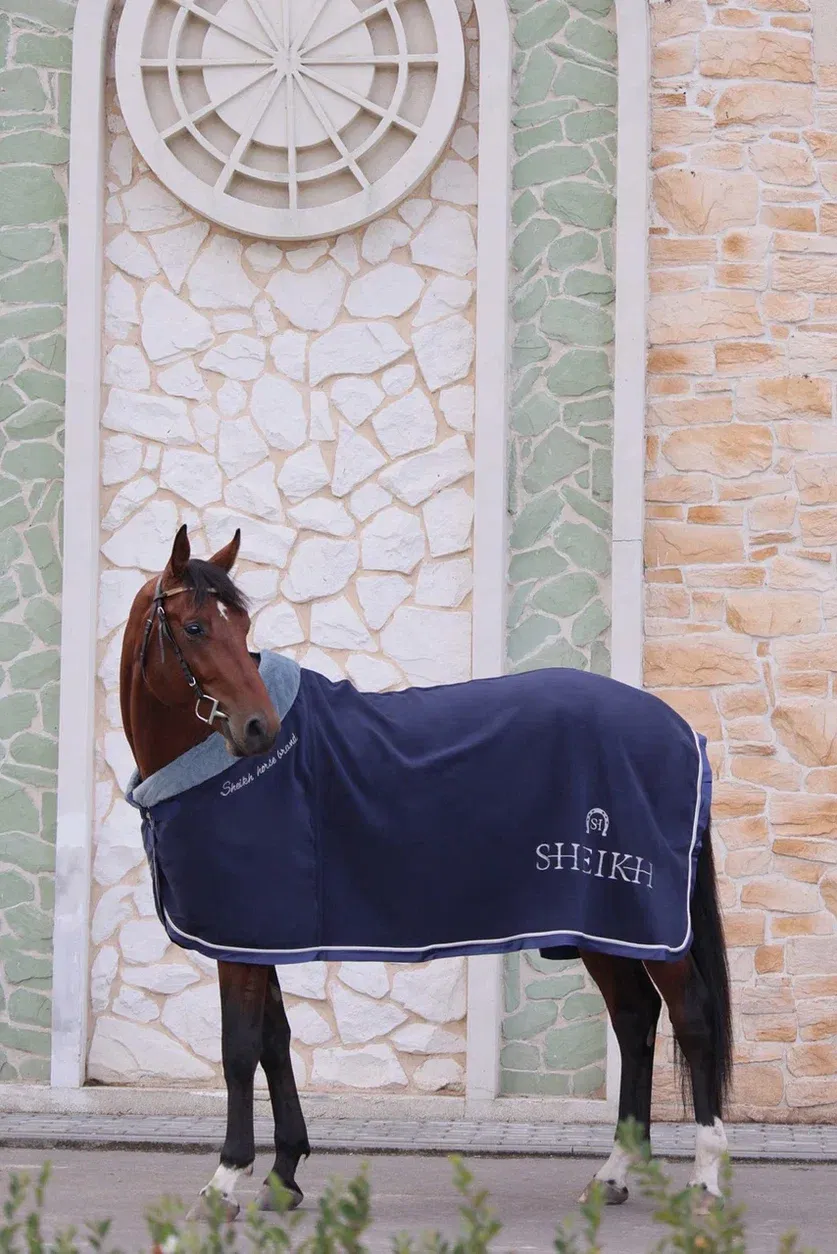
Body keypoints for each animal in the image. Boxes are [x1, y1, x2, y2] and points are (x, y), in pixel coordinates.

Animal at [118, 524, 732, 1221]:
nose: (258, 729)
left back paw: (705, 1181)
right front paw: (284, 1173)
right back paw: (613, 1173)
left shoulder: (242, 937)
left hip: (645, 921)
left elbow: (240, 1048)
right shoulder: (257, 937)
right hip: (601, 924)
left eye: (240, 623)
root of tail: (680, 732)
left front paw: (226, 1180)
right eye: (195, 627)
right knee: (634, 1019)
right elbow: (274, 1040)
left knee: (692, 1018)